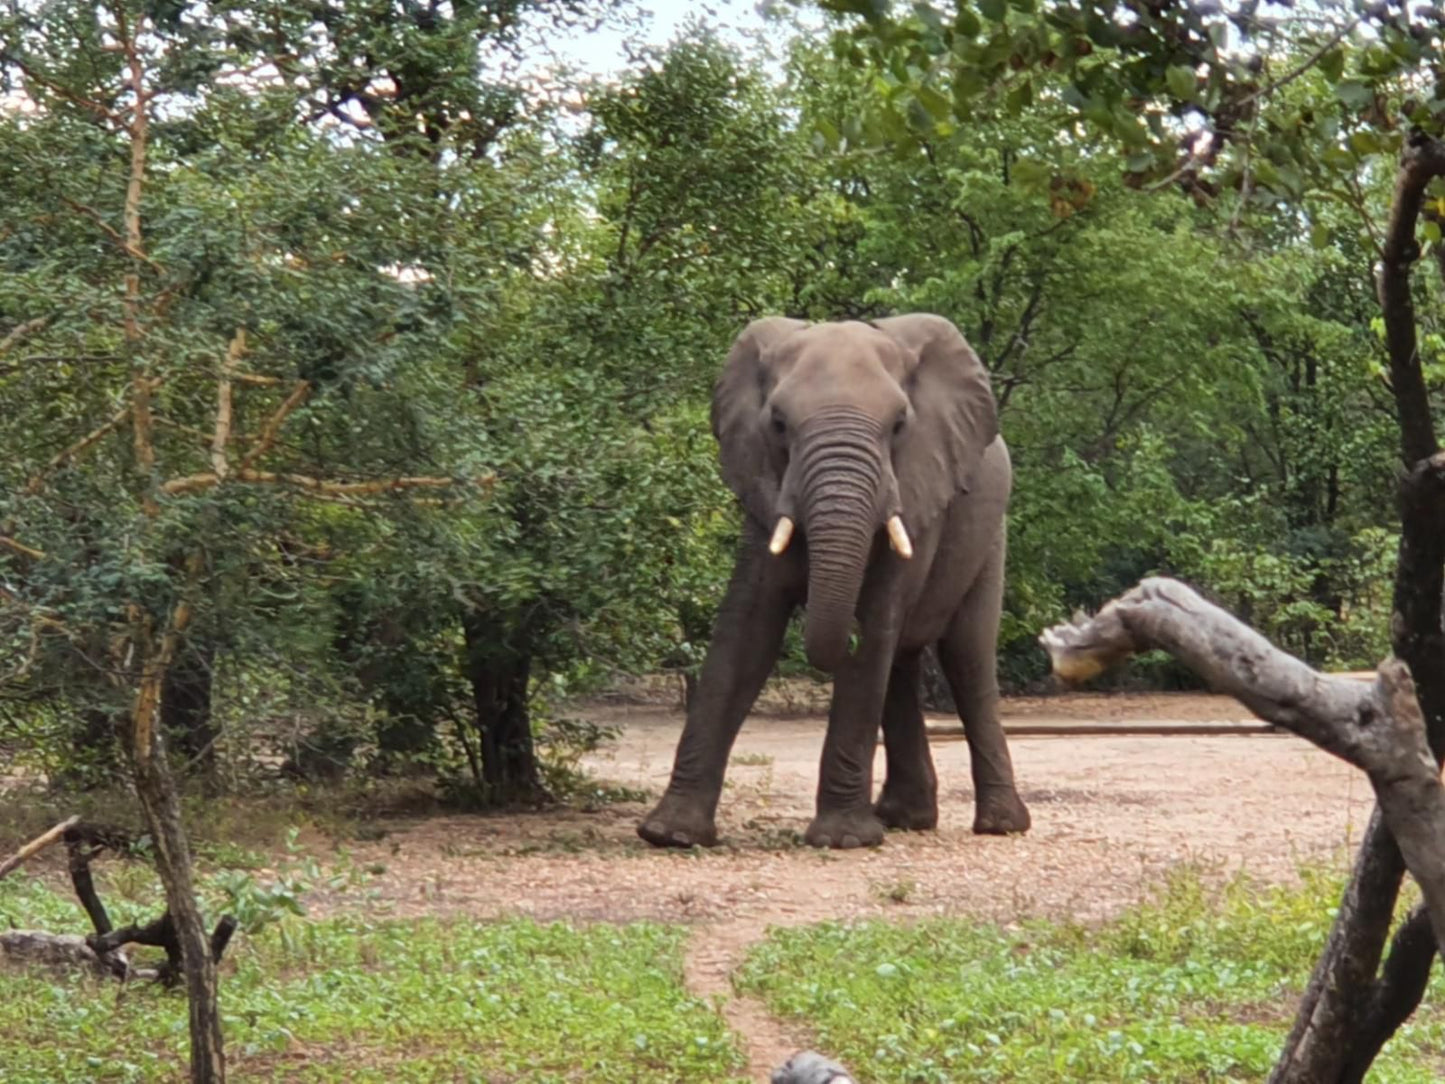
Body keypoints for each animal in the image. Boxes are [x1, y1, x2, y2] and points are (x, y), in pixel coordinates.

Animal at [638, 313, 1034, 849]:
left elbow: (874, 627)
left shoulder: (916, 485)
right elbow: (746, 631)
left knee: (967, 658)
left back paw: (1000, 826)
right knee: (901, 664)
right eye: (778, 424)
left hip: (990, 536)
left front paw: (843, 840)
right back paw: (904, 818)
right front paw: (671, 834)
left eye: (899, 426)